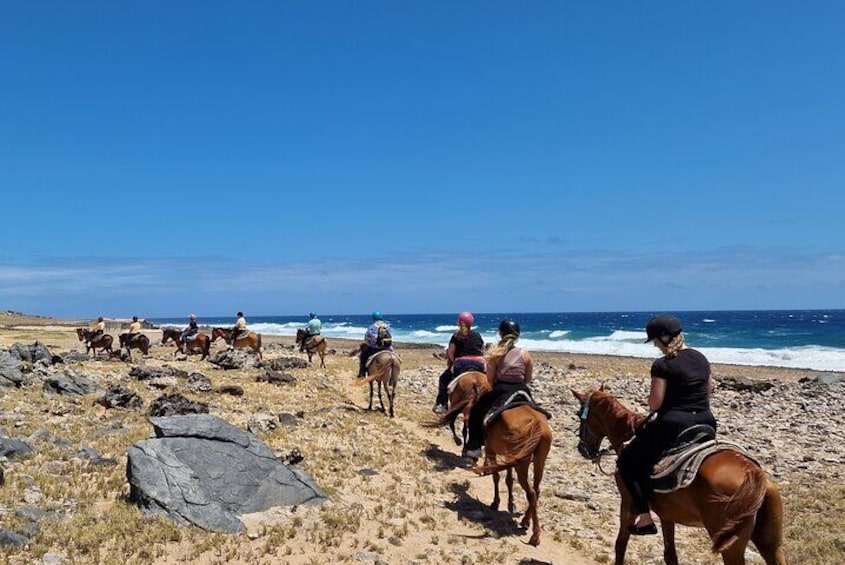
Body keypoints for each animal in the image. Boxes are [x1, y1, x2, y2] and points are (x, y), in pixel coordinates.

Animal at [472, 400, 552, 540]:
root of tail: (537, 424)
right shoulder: (509, 457)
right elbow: (509, 479)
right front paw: (510, 503)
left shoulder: (491, 450)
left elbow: (496, 477)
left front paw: (496, 502)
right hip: (539, 460)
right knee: (536, 490)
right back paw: (526, 521)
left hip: (522, 463)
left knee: (531, 493)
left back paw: (535, 535)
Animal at [572, 388, 784, 564]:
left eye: (580, 415)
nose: (583, 449)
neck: (629, 440)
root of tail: (753, 472)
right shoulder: (667, 515)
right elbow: (670, 555)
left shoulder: (628, 503)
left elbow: (620, 544)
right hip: (769, 543)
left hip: (731, 547)